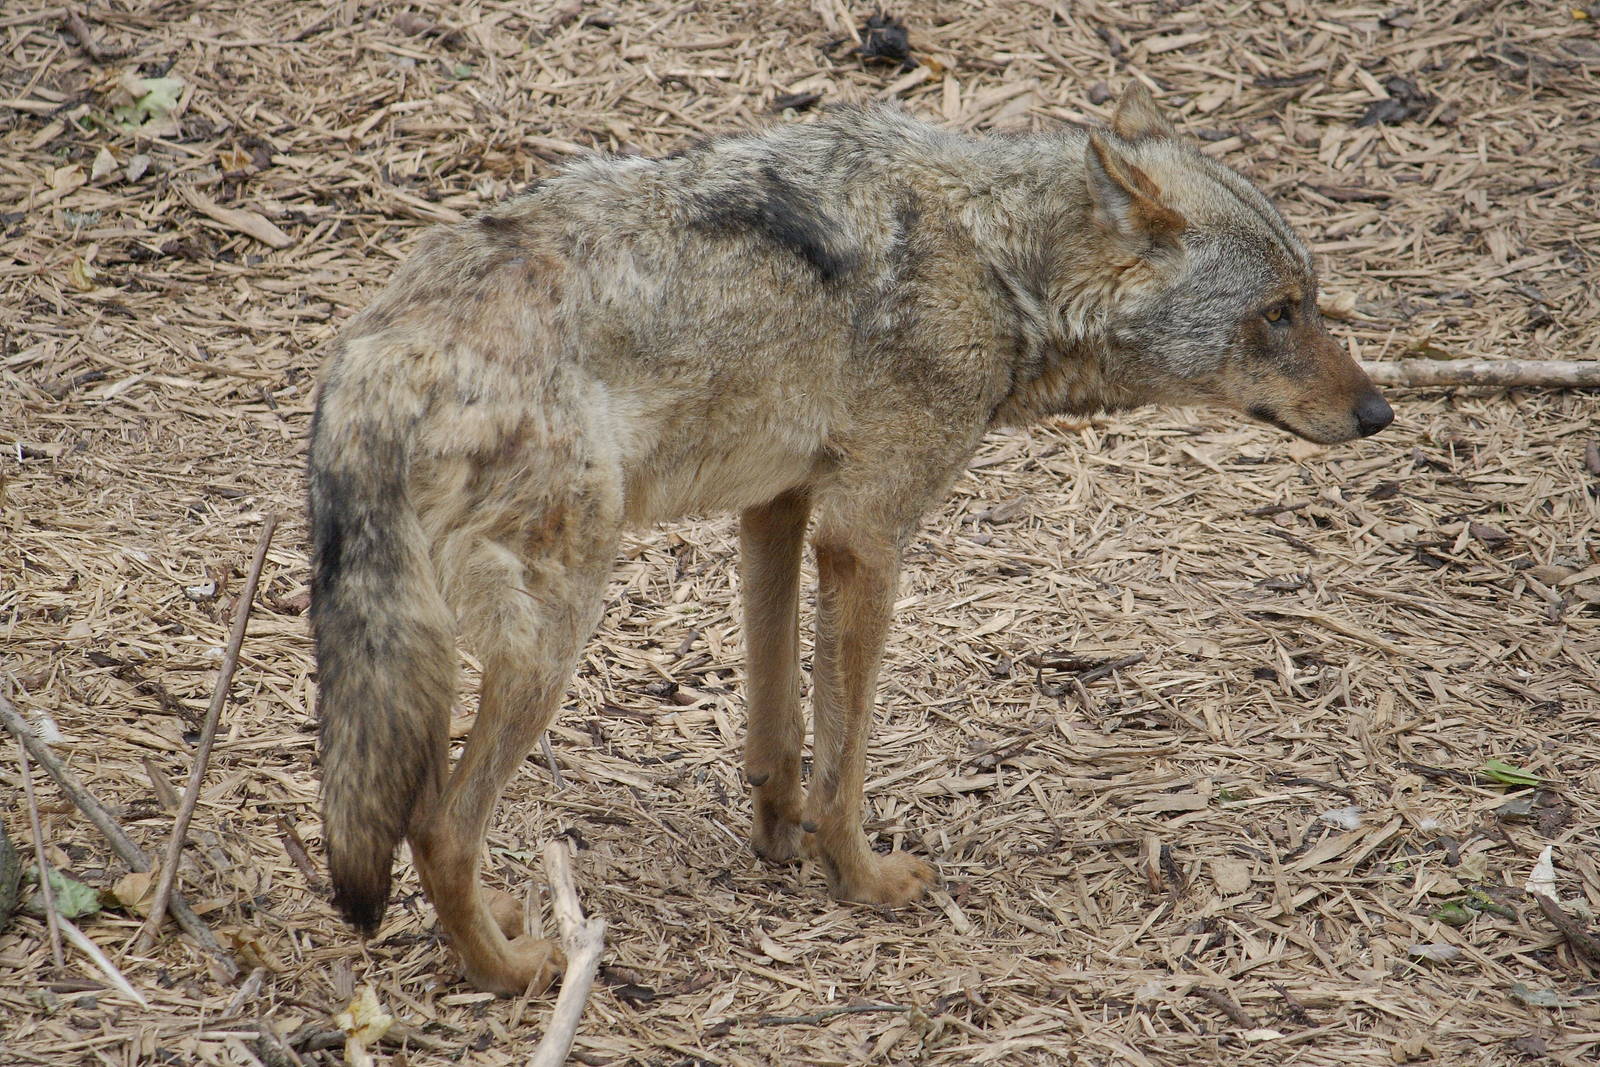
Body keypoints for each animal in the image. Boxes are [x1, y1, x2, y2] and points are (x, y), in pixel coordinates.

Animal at [308, 84, 1391, 994]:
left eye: (1311, 302)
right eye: (1277, 314)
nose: (1379, 412)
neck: (999, 266)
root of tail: (379, 353)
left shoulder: (779, 509)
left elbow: (781, 727)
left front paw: (778, 838)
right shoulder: (867, 537)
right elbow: (848, 752)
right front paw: (861, 876)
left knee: (417, 812)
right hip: (554, 638)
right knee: (440, 826)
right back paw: (512, 969)